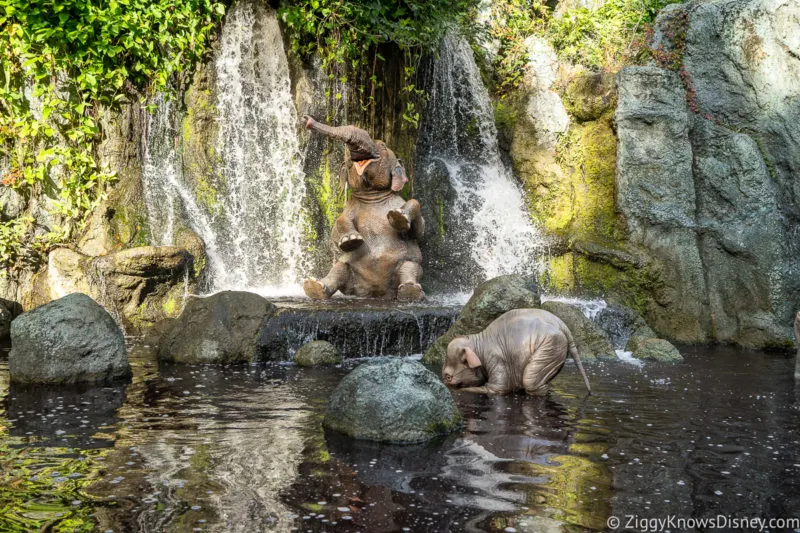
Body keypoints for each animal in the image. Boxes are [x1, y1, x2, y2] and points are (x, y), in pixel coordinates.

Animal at [302, 116, 424, 300]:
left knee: (410, 267)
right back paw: (315, 287)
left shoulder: (398, 201)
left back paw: (410, 292)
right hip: (348, 268)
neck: (372, 195)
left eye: (383, 146)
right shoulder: (350, 206)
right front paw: (350, 240)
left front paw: (398, 217)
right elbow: (337, 226)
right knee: (338, 269)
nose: (307, 120)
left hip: (409, 262)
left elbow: (418, 230)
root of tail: (374, 292)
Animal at [440, 308, 592, 394]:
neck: (477, 341)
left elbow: (497, 389)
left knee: (530, 381)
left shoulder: (496, 359)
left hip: (551, 346)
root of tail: (563, 326)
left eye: (448, 377)